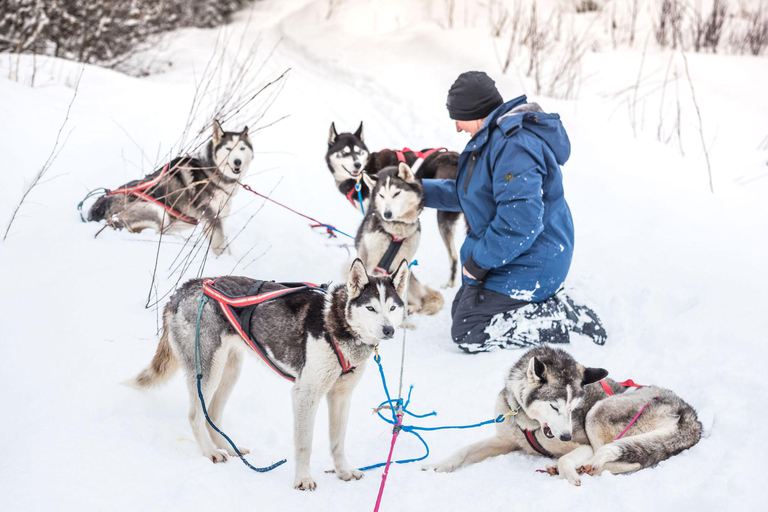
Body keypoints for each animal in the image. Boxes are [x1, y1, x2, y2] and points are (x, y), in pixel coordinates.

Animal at [87, 120, 254, 256]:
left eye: (242, 148)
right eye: (228, 149)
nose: (237, 162)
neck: (210, 171)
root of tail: (94, 213)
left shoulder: (218, 218)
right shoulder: (211, 219)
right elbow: (220, 247)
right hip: (157, 211)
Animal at [127, 260, 408, 492]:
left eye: (393, 307)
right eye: (371, 308)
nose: (389, 330)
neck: (336, 323)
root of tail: (186, 287)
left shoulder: (341, 396)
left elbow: (338, 441)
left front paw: (343, 472)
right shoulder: (306, 394)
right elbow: (305, 443)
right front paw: (303, 479)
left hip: (231, 369)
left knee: (212, 415)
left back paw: (228, 447)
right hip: (208, 369)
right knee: (196, 415)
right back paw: (210, 452)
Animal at [326, 121, 462, 288]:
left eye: (358, 151)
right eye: (344, 152)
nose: (357, 164)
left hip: (443, 218)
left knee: (453, 255)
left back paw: (449, 284)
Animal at [356, 164, 444, 316]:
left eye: (396, 193)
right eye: (381, 195)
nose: (387, 214)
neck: (396, 232)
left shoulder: (405, 264)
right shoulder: (371, 264)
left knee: (418, 301)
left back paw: (411, 308)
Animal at [428, 346, 704, 486]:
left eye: (573, 408)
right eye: (554, 407)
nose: (565, 436)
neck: (529, 422)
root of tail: (691, 414)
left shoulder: (582, 444)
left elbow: (566, 459)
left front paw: (568, 471)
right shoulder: (504, 441)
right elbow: (463, 451)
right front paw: (438, 465)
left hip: (598, 413)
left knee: (622, 462)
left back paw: (580, 467)